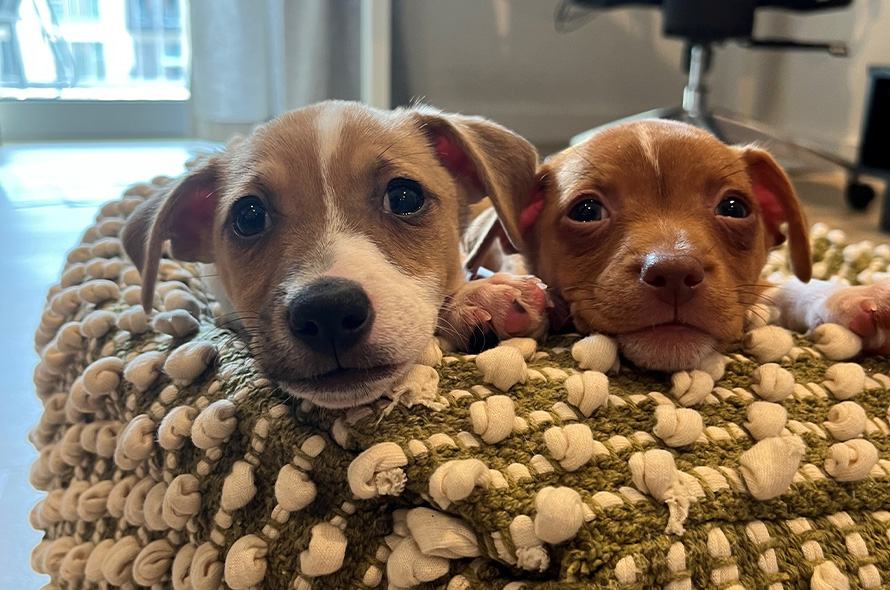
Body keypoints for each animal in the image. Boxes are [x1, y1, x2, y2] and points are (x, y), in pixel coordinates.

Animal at [496, 119, 888, 370]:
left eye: (734, 208)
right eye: (587, 211)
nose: (674, 274)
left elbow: (783, 286)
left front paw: (849, 296)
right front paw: (503, 301)